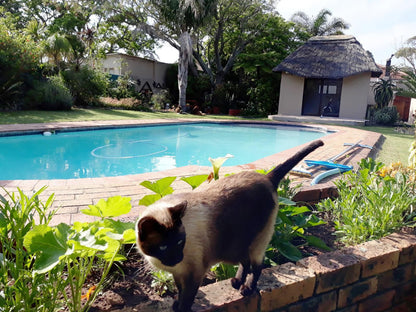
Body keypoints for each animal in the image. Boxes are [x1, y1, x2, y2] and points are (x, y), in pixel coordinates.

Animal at [135, 140, 324, 310]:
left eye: (180, 242)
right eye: (163, 247)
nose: (177, 258)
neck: (162, 262)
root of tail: (266, 176)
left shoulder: (193, 274)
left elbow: (187, 298)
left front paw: (181, 308)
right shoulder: (178, 273)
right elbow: (180, 292)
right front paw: (175, 304)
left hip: (257, 243)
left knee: (257, 265)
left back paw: (246, 288)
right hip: (235, 247)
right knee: (245, 261)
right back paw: (237, 282)